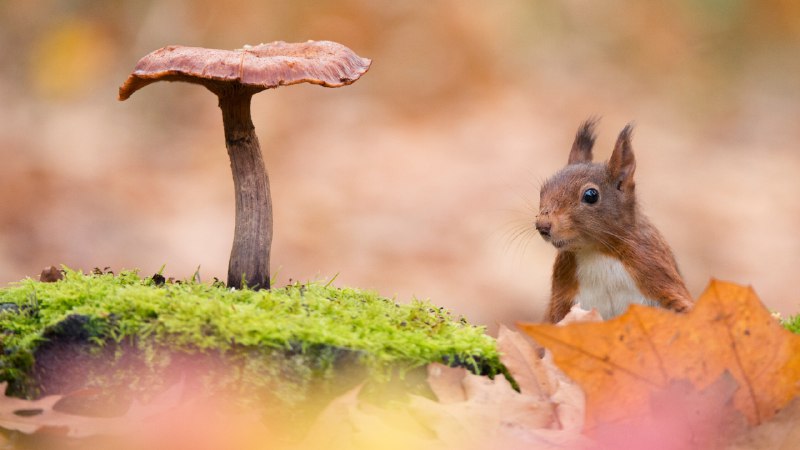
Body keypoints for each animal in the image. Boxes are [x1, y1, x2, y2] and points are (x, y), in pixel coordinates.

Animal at [535, 119, 694, 323]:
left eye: (591, 195)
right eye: (542, 190)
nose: (542, 226)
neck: (597, 252)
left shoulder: (654, 268)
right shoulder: (562, 292)